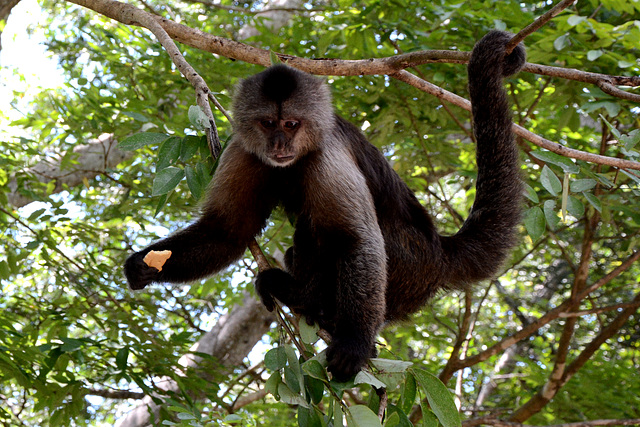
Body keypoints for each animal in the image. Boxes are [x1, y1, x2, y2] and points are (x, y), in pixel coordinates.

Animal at [125, 31, 524, 382]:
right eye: (268, 123)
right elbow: (227, 231)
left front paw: (354, 345)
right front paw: (144, 265)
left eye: (291, 123)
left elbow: (356, 239)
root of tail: (439, 252)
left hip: (408, 268)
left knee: (322, 231)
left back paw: (309, 300)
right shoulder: (243, 150)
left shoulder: (327, 155)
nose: (280, 143)